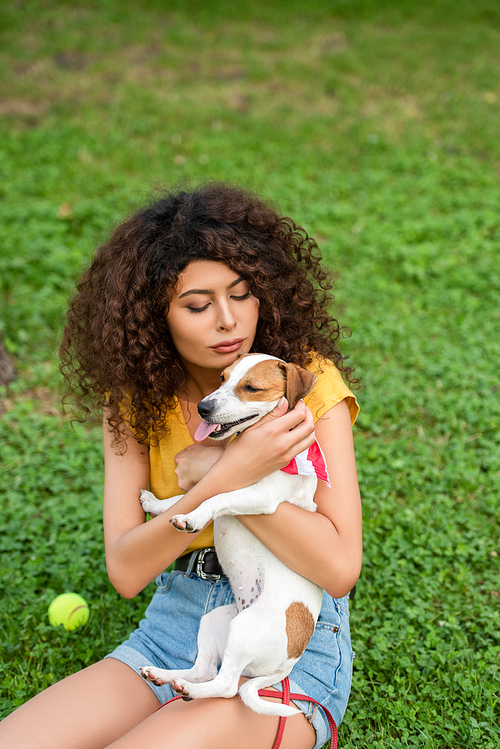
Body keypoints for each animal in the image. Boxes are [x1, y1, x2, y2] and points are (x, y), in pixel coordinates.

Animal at [141, 354, 328, 716]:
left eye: (251, 388)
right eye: (222, 378)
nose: (203, 407)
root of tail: (286, 665)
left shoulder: (260, 496)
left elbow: (212, 497)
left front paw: (193, 517)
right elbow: (191, 494)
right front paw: (159, 505)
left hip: (243, 631)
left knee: (227, 686)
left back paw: (187, 689)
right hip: (218, 620)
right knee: (203, 670)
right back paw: (165, 676)